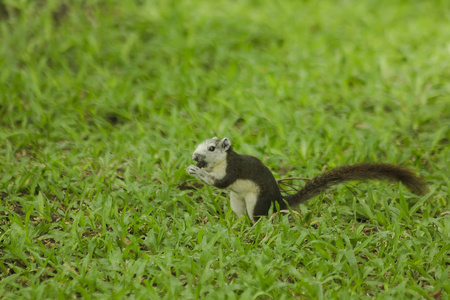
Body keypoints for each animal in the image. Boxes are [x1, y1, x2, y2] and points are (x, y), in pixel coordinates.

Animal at [185, 137, 426, 220]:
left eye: (211, 148)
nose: (195, 156)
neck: (219, 162)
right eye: (198, 145)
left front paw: (197, 172)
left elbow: (220, 183)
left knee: (258, 217)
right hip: (237, 200)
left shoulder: (232, 169)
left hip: (257, 201)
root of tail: (280, 200)